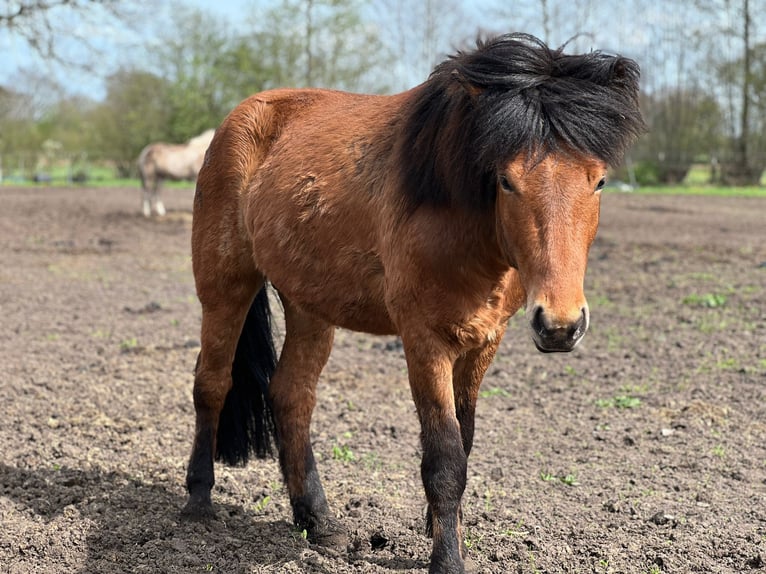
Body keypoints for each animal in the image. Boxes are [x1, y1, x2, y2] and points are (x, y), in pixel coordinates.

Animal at [183, 33, 644, 572]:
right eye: (506, 180)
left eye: (599, 180)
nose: (560, 325)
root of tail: (241, 118)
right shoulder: (425, 341)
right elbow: (444, 459)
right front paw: (447, 560)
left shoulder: (484, 341)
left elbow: (465, 442)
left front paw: (452, 537)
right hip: (225, 285)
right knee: (212, 384)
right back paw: (198, 502)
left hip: (309, 305)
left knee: (291, 396)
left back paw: (318, 522)